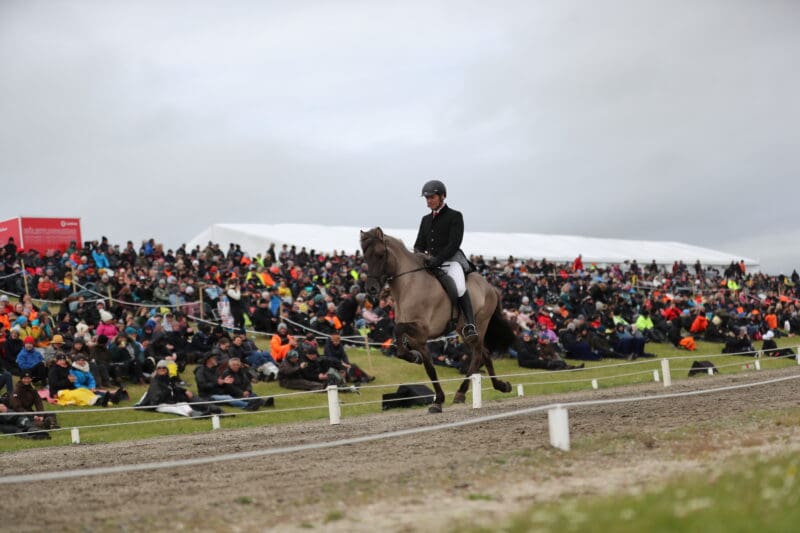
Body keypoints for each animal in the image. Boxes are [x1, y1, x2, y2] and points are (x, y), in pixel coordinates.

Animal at [360, 227, 516, 413]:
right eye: (365, 256)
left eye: (380, 254)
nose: (371, 288)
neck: (409, 285)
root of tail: (491, 287)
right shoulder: (418, 339)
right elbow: (429, 368)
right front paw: (437, 398)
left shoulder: (422, 329)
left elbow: (398, 330)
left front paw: (414, 359)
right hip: (463, 330)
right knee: (484, 352)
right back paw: (501, 386)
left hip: (479, 324)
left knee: (478, 354)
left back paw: (461, 393)